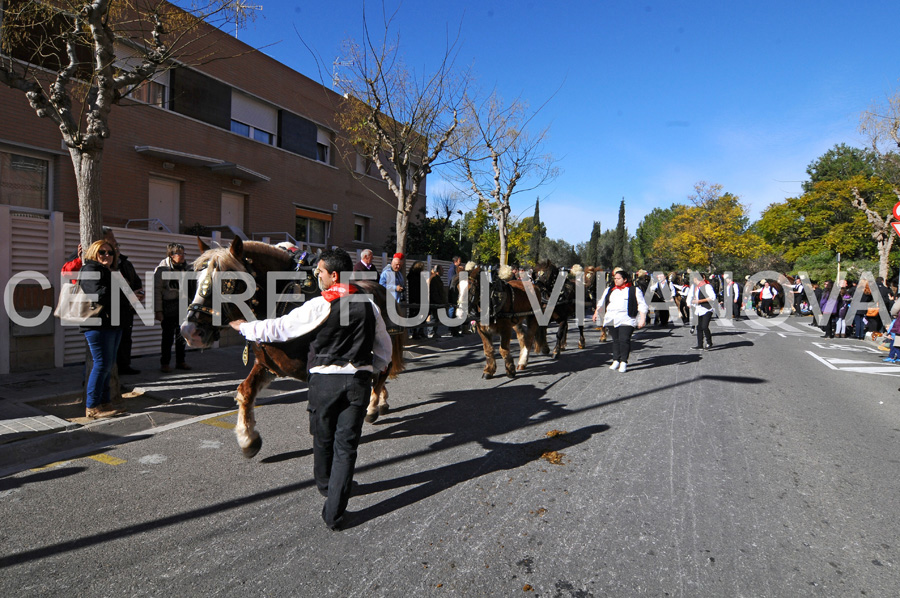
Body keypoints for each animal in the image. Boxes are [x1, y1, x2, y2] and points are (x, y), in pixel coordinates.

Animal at [179, 239, 404, 460]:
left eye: (228, 283)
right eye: (196, 280)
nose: (190, 331)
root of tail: (380, 288)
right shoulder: (269, 365)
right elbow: (245, 391)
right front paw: (248, 438)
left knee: (382, 371)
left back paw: (373, 407)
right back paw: (381, 401)